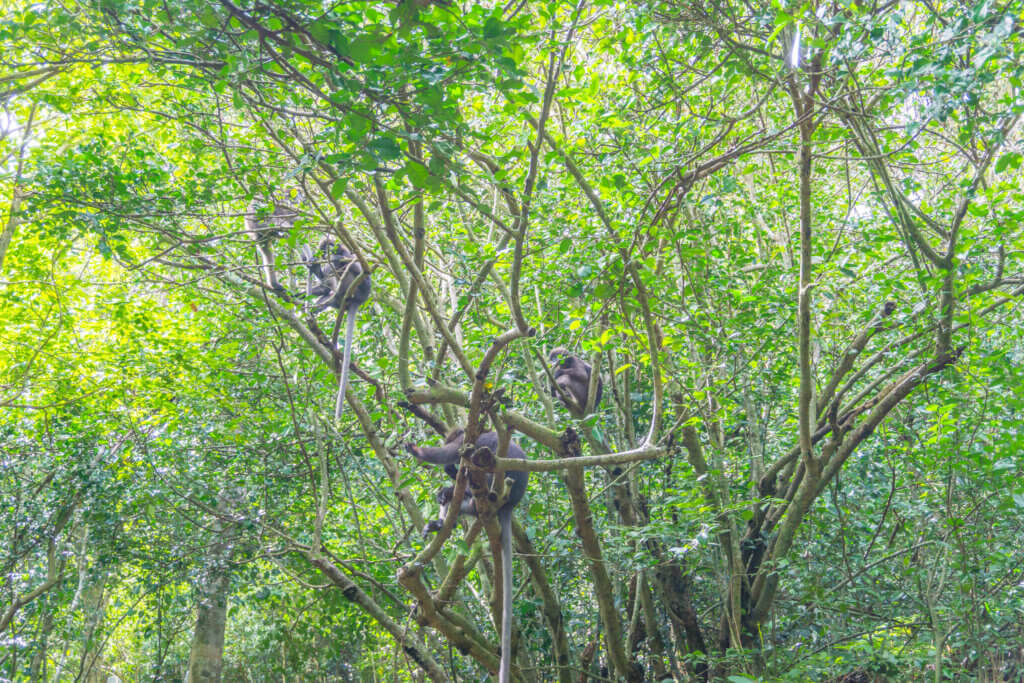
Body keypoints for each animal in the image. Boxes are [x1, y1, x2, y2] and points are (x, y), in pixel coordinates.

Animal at [301, 240, 374, 421]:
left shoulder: (350, 254)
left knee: (349, 273)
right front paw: (312, 266)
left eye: (331, 247)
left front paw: (336, 258)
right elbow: (324, 282)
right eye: (324, 249)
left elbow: (360, 269)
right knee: (328, 288)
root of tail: (359, 300)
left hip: (358, 289)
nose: (330, 252)